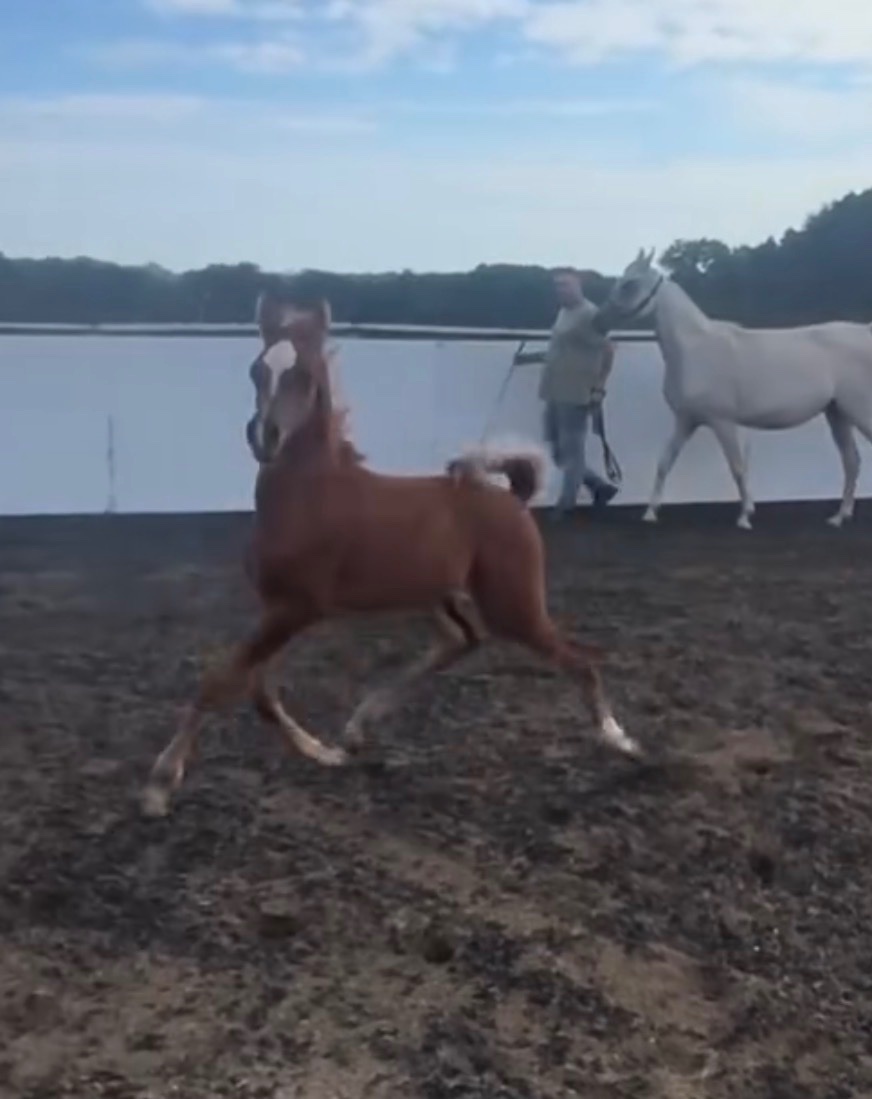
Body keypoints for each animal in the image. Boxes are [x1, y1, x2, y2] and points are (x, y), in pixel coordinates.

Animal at [141, 298, 640, 818]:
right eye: (257, 369)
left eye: (304, 375)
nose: (266, 436)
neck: (307, 496)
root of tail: (513, 498)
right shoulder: (274, 607)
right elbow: (257, 691)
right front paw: (323, 751)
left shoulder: (297, 607)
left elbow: (220, 681)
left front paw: (159, 785)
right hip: (436, 597)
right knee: (462, 640)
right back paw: (357, 729)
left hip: (513, 605)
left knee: (576, 660)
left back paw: (621, 742)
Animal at [607, 248, 872, 530]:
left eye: (630, 284)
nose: (601, 317)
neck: (694, 348)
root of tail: (865, 332)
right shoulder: (686, 421)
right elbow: (664, 462)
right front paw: (650, 512)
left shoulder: (722, 421)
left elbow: (738, 467)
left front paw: (745, 516)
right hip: (838, 413)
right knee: (852, 461)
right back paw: (839, 516)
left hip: (859, 411)